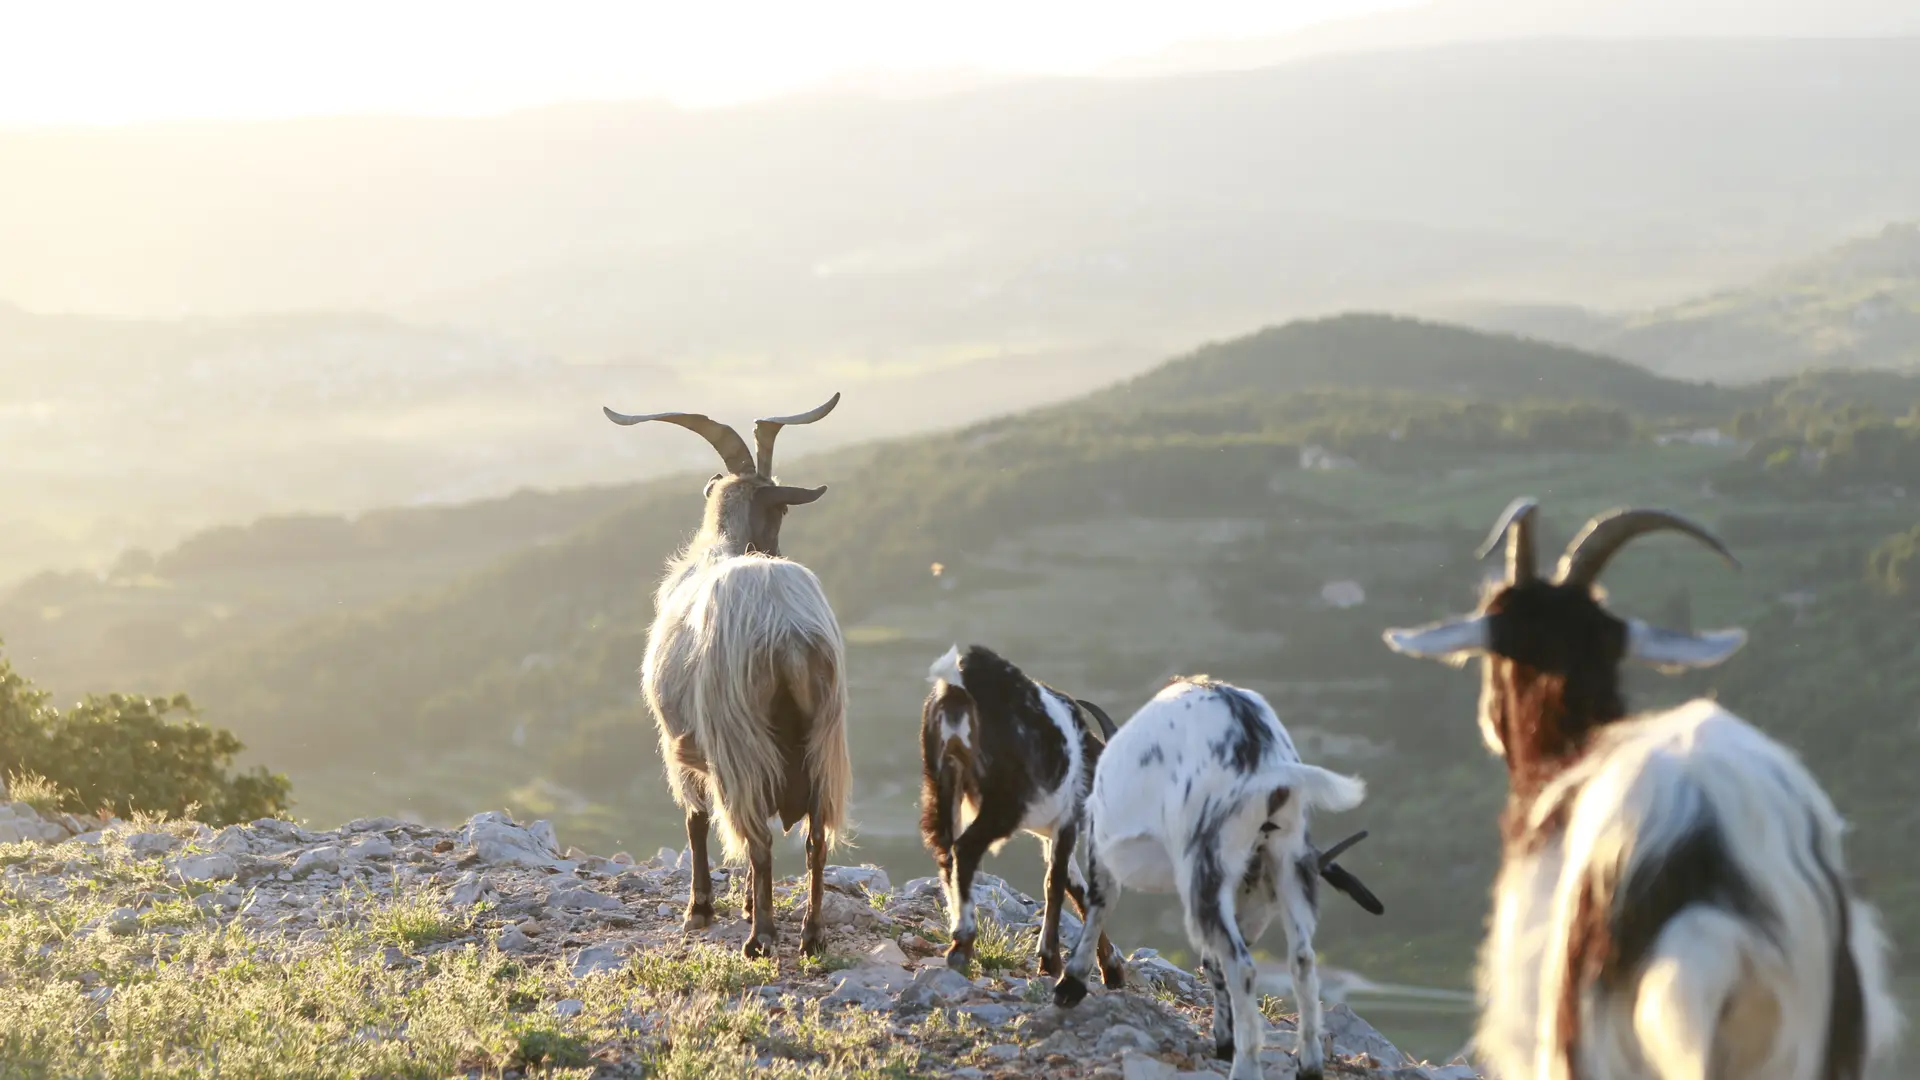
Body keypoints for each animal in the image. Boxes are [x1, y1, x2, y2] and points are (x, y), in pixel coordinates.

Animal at [602, 390, 852, 953]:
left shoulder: (680, 740)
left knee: (756, 837)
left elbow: (695, 821)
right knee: (815, 838)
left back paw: (760, 937)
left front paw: (700, 909)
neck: (722, 545)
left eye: (783, 506)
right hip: (822, 737)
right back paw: (810, 934)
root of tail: (786, 630)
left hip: (738, 737)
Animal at [921, 641, 1128, 980]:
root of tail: (962, 682)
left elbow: (1075, 887)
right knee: (965, 848)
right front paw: (1050, 960)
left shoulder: (1051, 833)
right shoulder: (1067, 822)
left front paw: (1110, 968)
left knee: (944, 850)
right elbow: (1055, 882)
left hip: (941, 780)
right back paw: (962, 944)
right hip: (1004, 801)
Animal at [1052, 672, 1382, 1076]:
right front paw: (1224, 1038)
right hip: (1288, 858)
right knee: (1301, 959)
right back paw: (1308, 1065)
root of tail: (1261, 758)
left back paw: (1246, 1067)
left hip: (1206, 860)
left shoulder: (1102, 840)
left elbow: (1099, 902)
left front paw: (1071, 984)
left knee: (1240, 965)